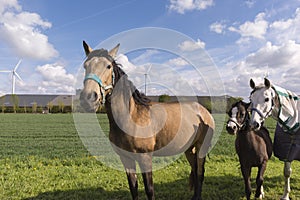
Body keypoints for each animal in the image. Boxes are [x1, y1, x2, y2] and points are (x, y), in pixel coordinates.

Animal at [79, 41, 216, 199]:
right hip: (189, 149)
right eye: (85, 66)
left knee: (200, 173)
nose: (88, 98)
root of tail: (204, 112)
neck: (131, 118)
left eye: (108, 66)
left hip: (201, 148)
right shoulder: (126, 159)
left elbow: (149, 189)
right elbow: (133, 187)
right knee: (195, 169)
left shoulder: (145, 158)